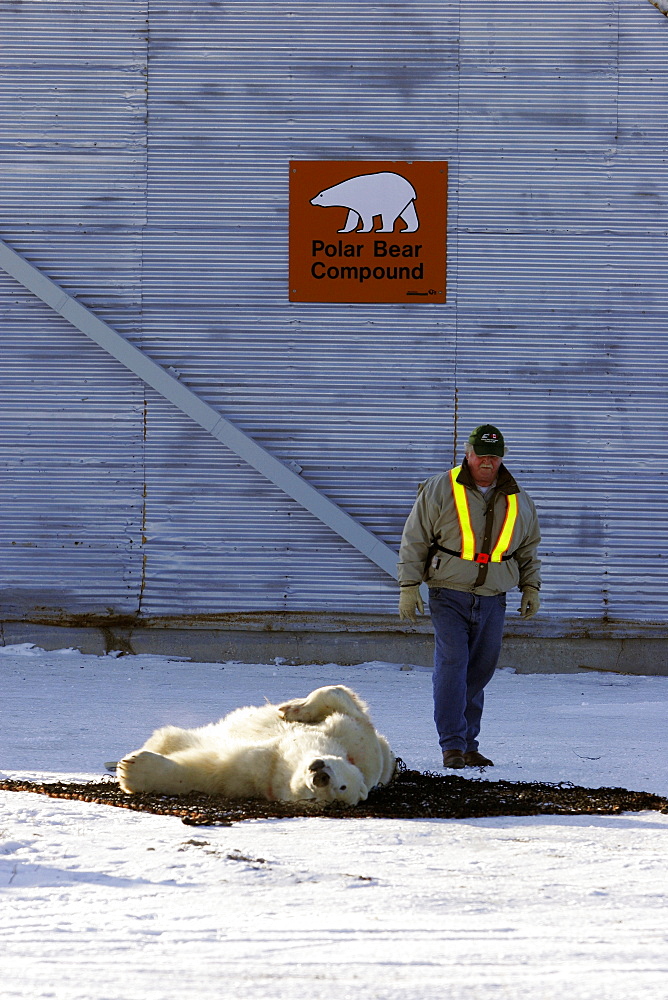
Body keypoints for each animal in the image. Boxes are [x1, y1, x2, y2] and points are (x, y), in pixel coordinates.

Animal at [117, 684, 394, 808]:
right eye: (343, 784)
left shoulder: (258, 771)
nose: (320, 777)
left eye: (314, 799)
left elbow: (208, 769)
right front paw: (293, 709)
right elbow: (339, 699)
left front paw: (133, 769)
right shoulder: (357, 740)